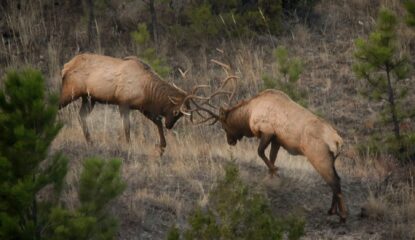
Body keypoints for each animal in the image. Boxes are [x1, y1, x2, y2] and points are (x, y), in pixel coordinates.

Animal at [59, 53, 202, 155]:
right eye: (176, 112)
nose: (170, 125)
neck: (147, 90)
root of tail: (65, 67)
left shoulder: (143, 107)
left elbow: (157, 121)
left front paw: (162, 147)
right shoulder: (123, 103)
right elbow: (127, 127)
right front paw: (129, 145)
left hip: (88, 98)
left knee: (81, 115)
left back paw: (90, 141)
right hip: (71, 92)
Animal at [192, 65, 348, 221]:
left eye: (224, 126)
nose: (230, 141)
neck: (249, 114)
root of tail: (338, 141)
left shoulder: (267, 131)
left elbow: (260, 152)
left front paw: (275, 171)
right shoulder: (276, 140)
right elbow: (272, 157)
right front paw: (271, 177)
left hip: (318, 157)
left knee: (334, 182)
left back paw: (341, 214)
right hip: (330, 159)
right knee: (338, 180)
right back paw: (333, 211)